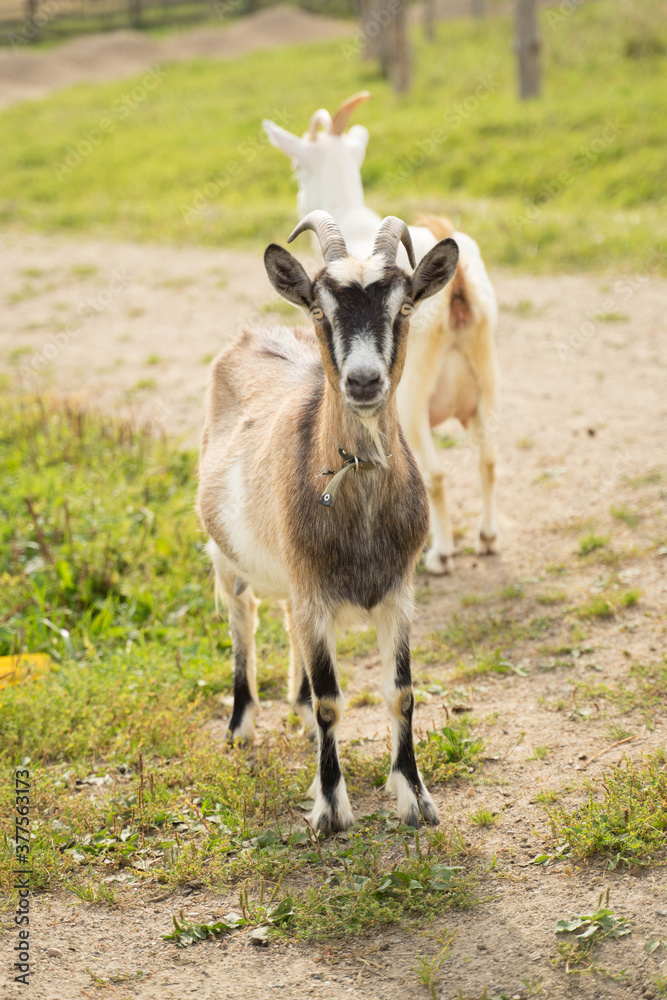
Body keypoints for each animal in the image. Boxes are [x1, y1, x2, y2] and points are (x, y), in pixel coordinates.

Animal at [197, 207, 460, 832]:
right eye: (320, 309)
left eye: (404, 307)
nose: (363, 381)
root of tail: (249, 336)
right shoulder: (314, 588)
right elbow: (331, 700)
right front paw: (331, 808)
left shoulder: (398, 591)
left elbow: (401, 693)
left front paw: (415, 797)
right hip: (225, 554)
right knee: (243, 620)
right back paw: (241, 726)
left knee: (286, 621)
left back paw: (289, 708)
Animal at [264, 98, 498, 580]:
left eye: (297, 167)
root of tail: (459, 286)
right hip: (485, 379)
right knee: (488, 458)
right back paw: (486, 538)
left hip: (415, 397)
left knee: (437, 473)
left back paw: (441, 555)